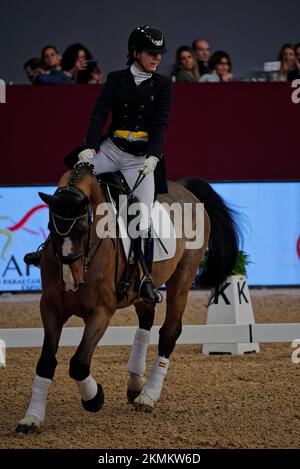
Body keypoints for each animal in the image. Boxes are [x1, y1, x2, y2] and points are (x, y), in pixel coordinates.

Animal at [16, 163, 238, 434]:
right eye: (50, 227)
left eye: (82, 229)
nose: (69, 280)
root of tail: (185, 189)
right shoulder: (50, 308)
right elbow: (46, 362)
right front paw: (31, 418)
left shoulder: (101, 312)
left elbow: (79, 363)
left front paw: (95, 398)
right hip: (141, 289)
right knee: (146, 322)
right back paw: (135, 384)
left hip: (182, 279)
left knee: (169, 332)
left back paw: (148, 396)